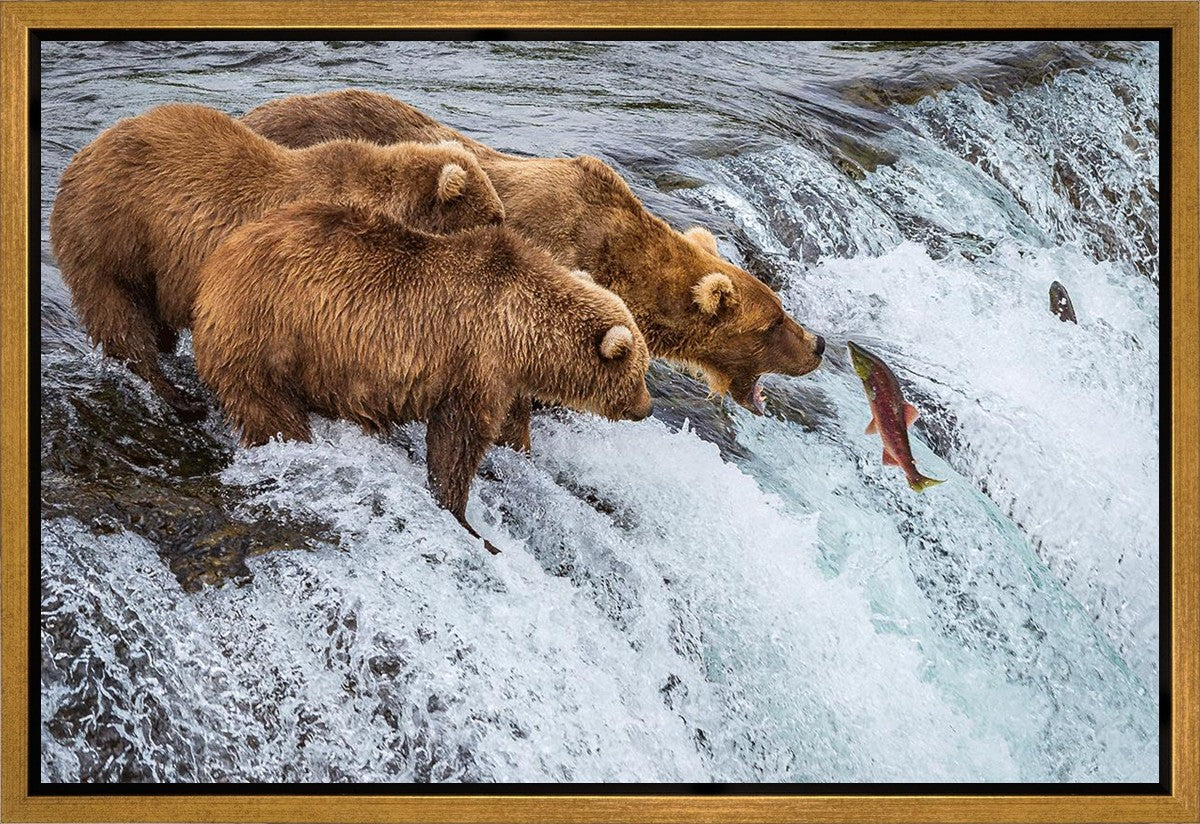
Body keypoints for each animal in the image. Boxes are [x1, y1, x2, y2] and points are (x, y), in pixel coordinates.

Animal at [49, 102, 505, 421]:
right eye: (494, 216)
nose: (506, 231)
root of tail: (81, 155)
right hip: (112, 234)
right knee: (120, 316)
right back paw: (178, 396)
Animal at [192, 199, 653, 554]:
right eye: (640, 372)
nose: (646, 408)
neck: (523, 331)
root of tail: (217, 263)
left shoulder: (505, 378)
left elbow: (509, 427)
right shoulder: (475, 360)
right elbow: (457, 440)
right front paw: (467, 521)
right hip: (267, 334)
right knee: (269, 409)